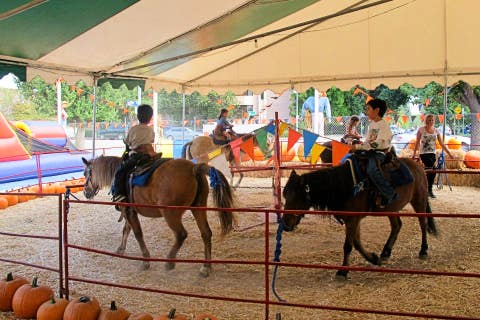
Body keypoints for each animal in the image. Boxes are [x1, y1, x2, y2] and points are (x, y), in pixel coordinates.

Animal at [82, 156, 236, 276]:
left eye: (85, 173)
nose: (85, 192)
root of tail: (193, 168)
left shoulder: (129, 211)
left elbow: (138, 234)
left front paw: (145, 260)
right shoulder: (129, 212)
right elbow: (126, 229)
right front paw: (121, 249)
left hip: (171, 214)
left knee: (181, 234)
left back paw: (169, 262)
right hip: (198, 208)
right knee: (206, 233)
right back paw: (206, 267)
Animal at [282, 159, 438, 278]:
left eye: (296, 198)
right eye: (285, 196)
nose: (286, 225)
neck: (344, 186)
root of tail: (418, 166)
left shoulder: (352, 220)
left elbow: (348, 246)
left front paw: (343, 271)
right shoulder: (353, 220)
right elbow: (356, 243)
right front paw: (374, 259)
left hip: (419, 200)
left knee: (423, 224)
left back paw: (423, 250)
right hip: (392, 208)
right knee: (397, 226)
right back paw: (385, 252)